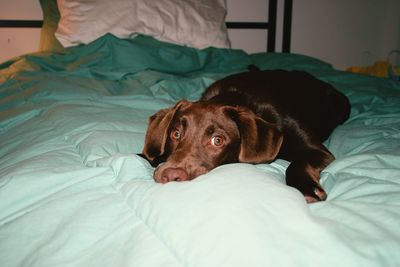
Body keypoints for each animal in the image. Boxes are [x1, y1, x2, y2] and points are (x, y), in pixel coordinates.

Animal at [141, 69, 350, 203]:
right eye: (175, 134)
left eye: (218, 140)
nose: (170, 175)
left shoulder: (317, 150)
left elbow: (297, 163)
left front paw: (306, 188)